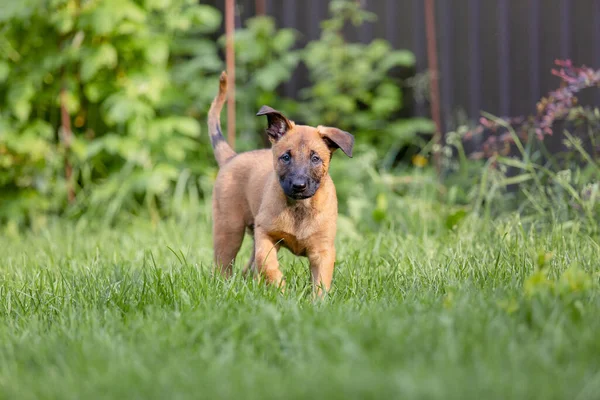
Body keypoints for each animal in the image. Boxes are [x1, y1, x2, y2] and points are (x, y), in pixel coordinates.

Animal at [209, 73, 354, 296]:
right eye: (286, 157)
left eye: (315, 158)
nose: (299, 185)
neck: (300, 208)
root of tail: (231, 157)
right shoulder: (266, 235)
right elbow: (267, 264)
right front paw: (282, 291)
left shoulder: (323, 250)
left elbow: (320, 283)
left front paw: (317, 301)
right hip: (229, 229)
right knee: (224, 265)